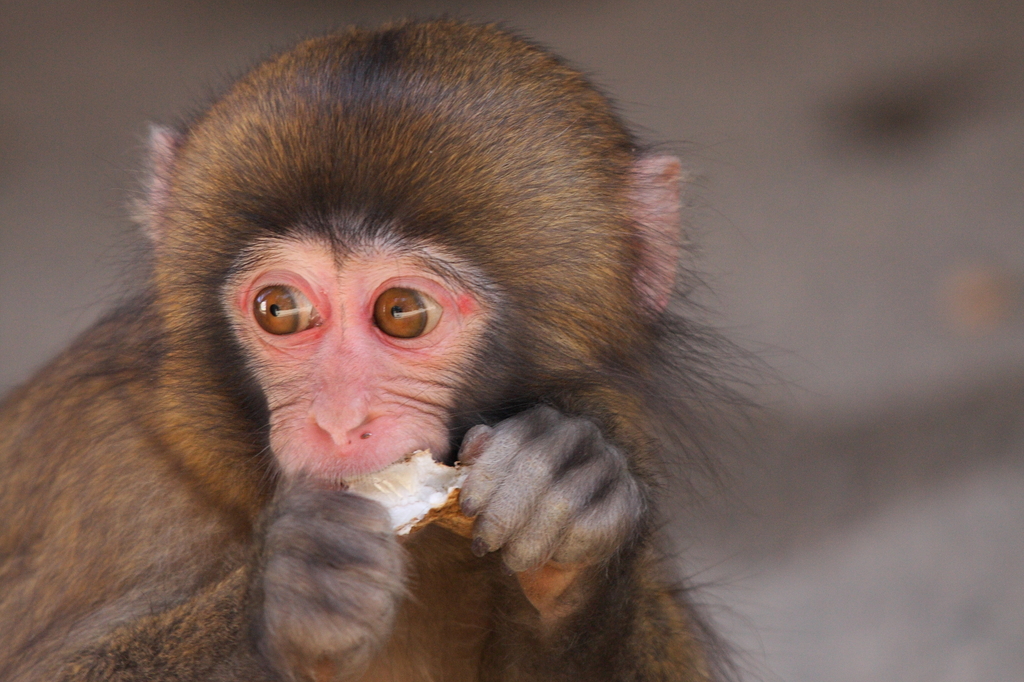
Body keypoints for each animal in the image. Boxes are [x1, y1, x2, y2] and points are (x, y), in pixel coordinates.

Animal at [2, 19, 729, 679]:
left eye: (402, 313)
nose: (337, 421)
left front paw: (571, 508)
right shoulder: (114, 461)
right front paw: (286, 595)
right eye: (280, 310)